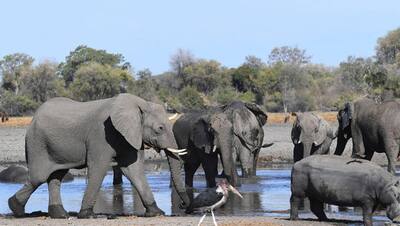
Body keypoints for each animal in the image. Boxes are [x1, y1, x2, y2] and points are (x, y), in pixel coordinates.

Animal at [7, 93, 189, 219]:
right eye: (160, 129)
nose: (183, 205)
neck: (139, 103)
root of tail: (33, 117)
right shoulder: (100, 135)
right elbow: (99, 168)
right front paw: (87, 215)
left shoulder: (129, 135)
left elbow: (134, 170)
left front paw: (157, 212)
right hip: (37, 142)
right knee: (38, 177)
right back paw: (16, 209)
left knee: (56, 177)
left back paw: (60, 215)